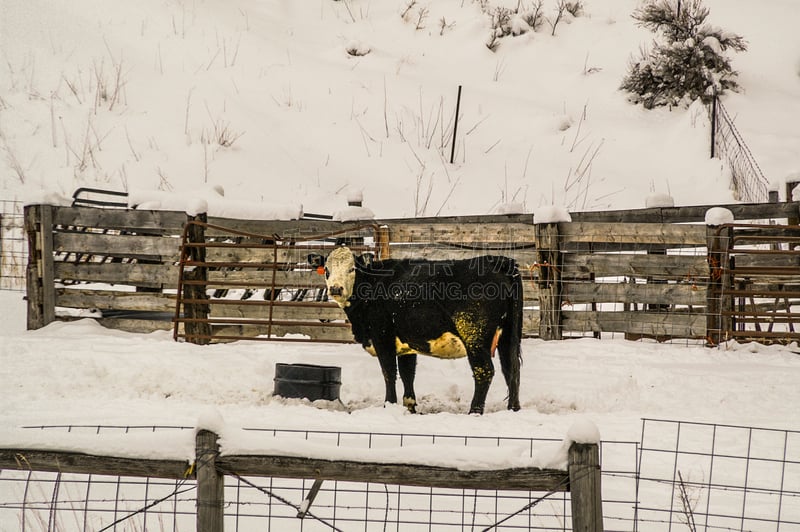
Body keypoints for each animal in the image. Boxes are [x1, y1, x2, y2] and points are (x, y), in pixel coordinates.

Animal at [312, 246, 524, 416]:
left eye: (352, 269)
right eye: (327, 270)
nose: (336, 289)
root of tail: (497, 262)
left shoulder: (382, 336)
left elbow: (389, 372)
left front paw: (389, 405)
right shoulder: (406, 343)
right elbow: (407, 374)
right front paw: (410, 407)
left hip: (474, 335)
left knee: (484, 371)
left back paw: (474, 411)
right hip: (508, 336)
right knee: (511, 369)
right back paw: (513, 409)